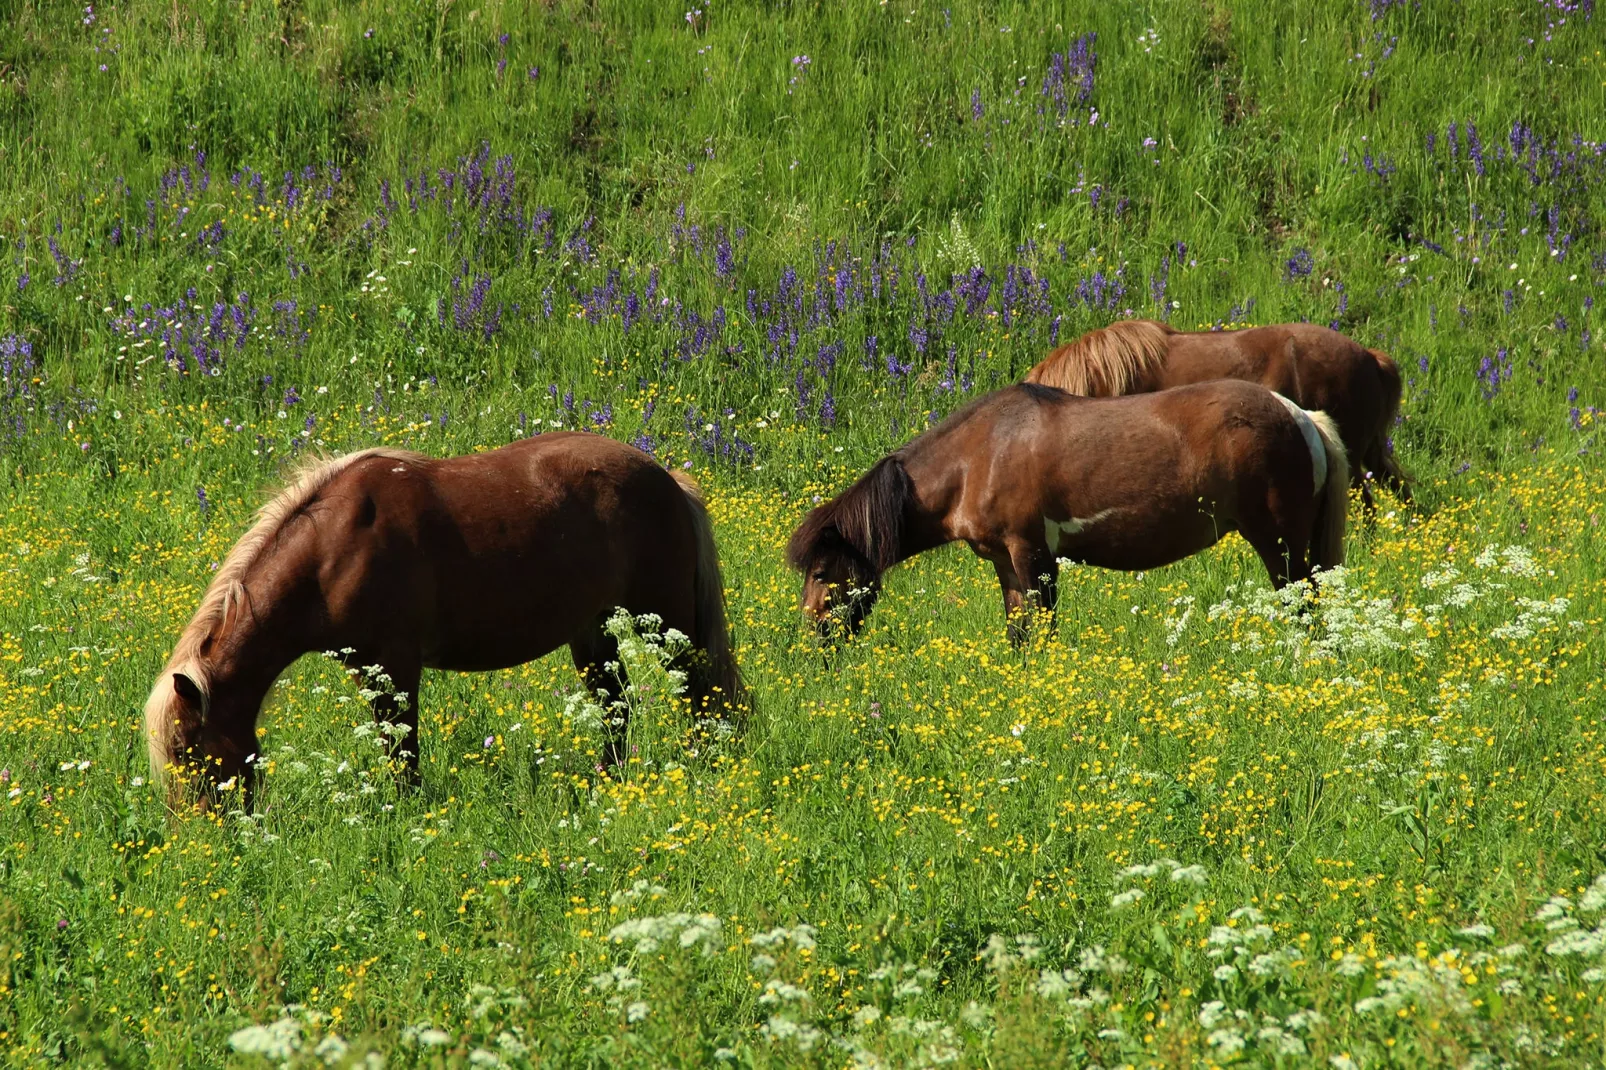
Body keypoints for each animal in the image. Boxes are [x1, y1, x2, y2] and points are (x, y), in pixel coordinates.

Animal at [141, 430, 741, 803]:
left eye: (189, 754)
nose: (203, 838)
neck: (332, 547)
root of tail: (666, 478)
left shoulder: (395, 664)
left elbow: (402, 748)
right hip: (594, 631)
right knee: (617, 708)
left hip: (665, 622)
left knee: (702, 694)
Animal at [783, 374, 1349, 642]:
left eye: (821, 572)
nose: (814, 642)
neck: (978, 456)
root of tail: (1300, 415)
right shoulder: (1006, 565)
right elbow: (1019, 636)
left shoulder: (1035, 556)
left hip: (1280, 545)